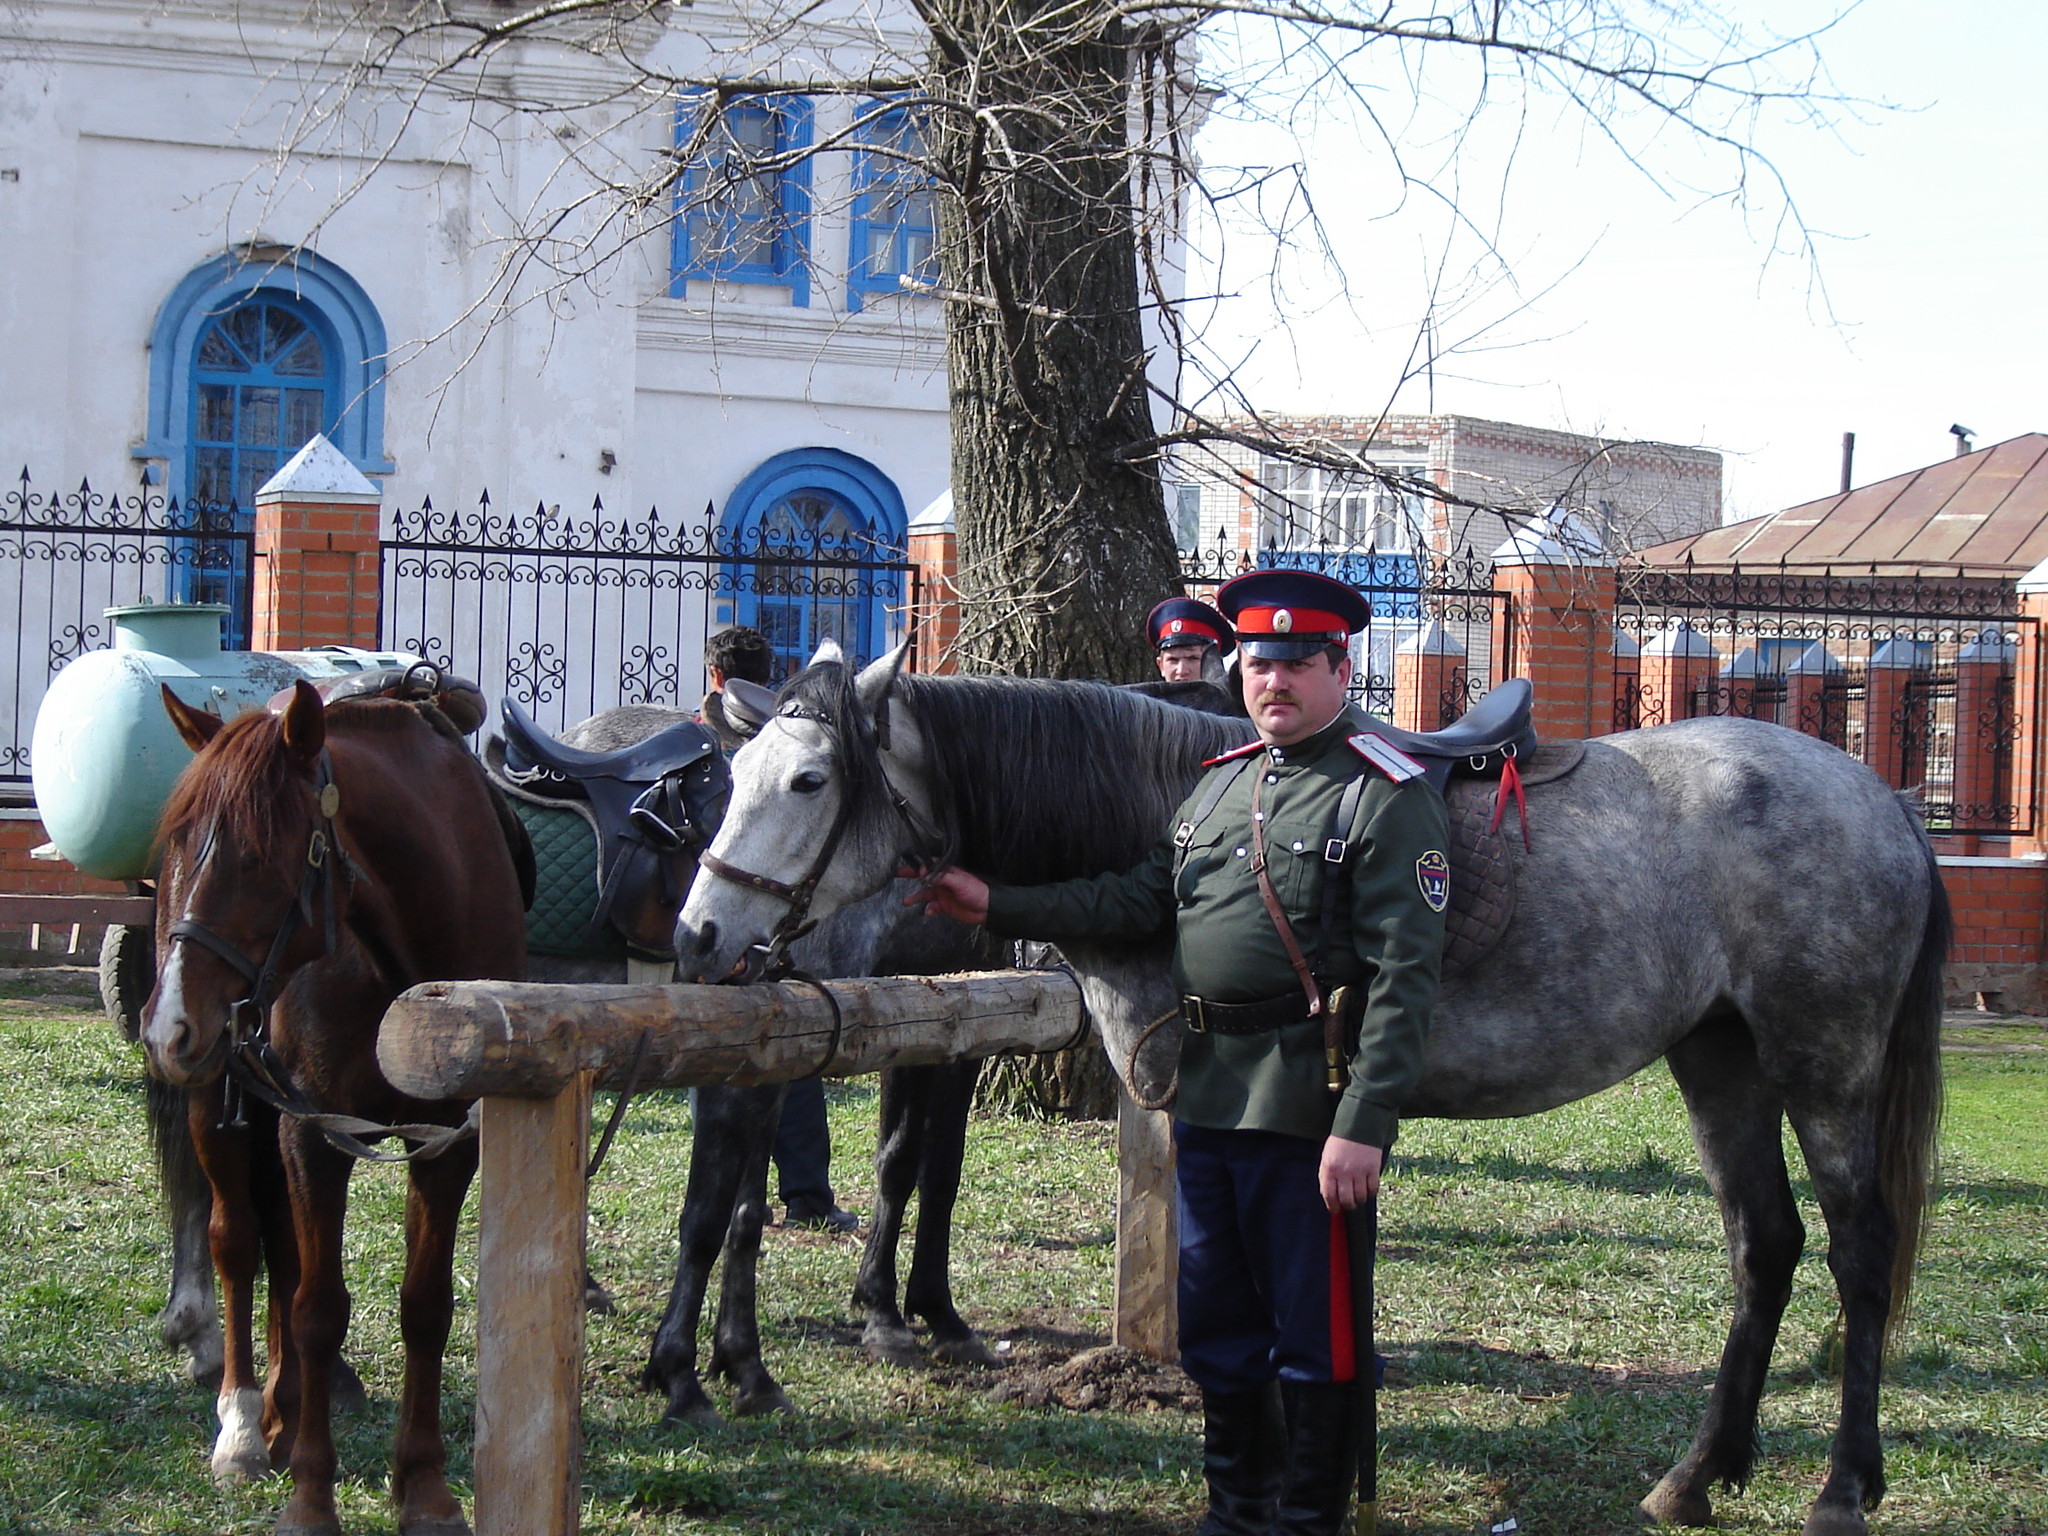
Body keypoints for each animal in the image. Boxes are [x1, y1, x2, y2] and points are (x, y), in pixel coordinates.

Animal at [142, 684, 528, 1536]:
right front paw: (312, 1498)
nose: (169, 1024)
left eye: (256, 856)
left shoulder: (447, 1144)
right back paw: (246, 1426)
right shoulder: (312, 1133)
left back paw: (284, 1416)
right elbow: (318, 1308)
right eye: (180, 843)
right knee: (238, 1242)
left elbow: (424, 1306)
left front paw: (424, 1487)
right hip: (218, 1102)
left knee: (284, 1252)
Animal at [675, 647, 1949, 1536]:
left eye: (807, 779)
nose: (697, 935)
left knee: (1858, 1252)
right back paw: (1695, 1475)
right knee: (1762, 1246)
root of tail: (1881, 800)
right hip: (1718, 1061)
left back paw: (1841, 1486)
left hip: (1823, 1070)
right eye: (729, 778)